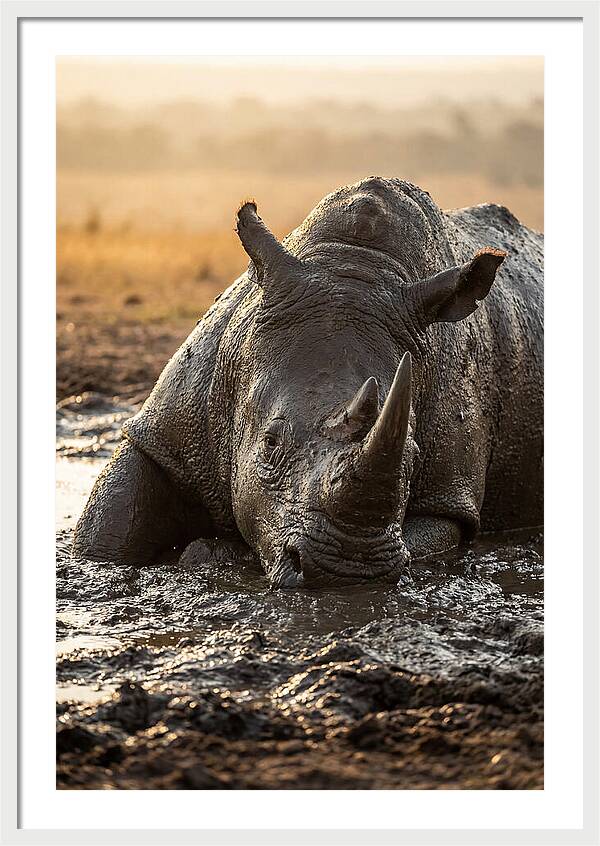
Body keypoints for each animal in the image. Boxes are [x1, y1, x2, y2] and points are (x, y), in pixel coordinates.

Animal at [73, 177, 543, 587]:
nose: (347, 570)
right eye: (269, 443)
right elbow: (108, 528)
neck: (355, 264)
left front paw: (211, 553)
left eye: (413, 455)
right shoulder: (166, 430)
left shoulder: (450, 496)